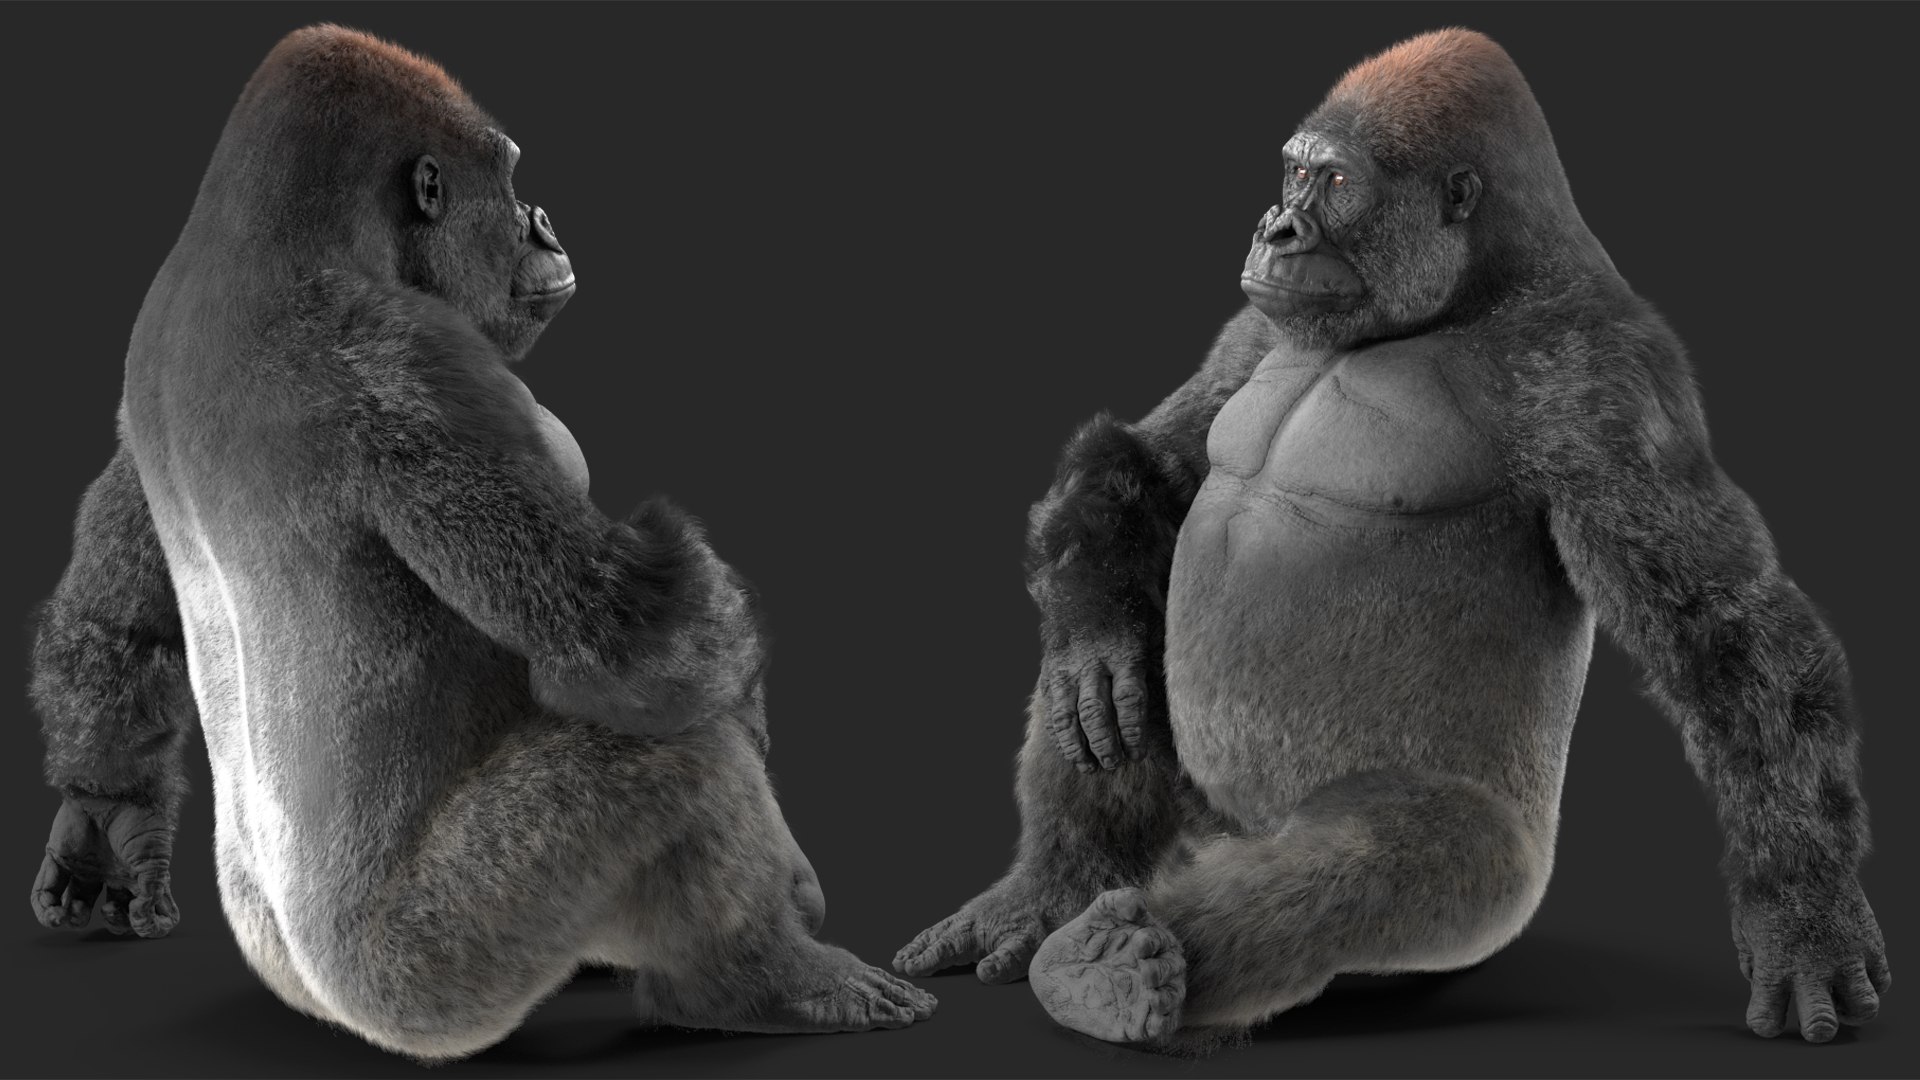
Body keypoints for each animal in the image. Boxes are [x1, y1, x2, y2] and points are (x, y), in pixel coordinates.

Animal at [28, 25, 933, 1060]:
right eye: (509, 180)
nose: (545, 220)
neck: (271, 241)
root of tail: (315, 987)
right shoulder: (406, 360)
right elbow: (636, 634)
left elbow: (120, 608)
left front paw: (104, 813)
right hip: (425, 975)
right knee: (672, 764)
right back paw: (757, 980)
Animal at [896, 28, 1888, 1046]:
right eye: (1292, 174)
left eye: (1335, 183)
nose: (1274, 229)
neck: (1482, 285)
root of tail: (1223, 840)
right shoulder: (1257, 321)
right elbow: (1150, 464)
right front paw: (1092, 625)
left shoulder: (1602, 370)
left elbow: (1726, 632)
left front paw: (1803, 912)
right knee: (1113, 672)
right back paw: (1054, 888)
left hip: (1479, 899)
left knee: (1390, 857)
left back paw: (1120, 962)